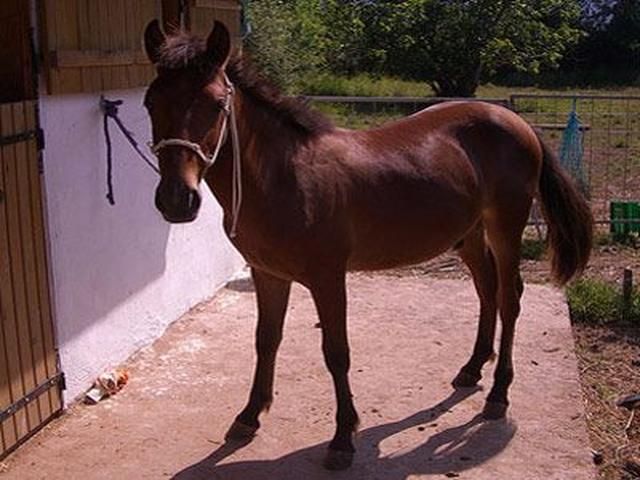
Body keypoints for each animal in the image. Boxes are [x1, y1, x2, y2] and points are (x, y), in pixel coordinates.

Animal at [143, 20, 593, 470]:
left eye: (216, 103)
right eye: (150, 102)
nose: (176, 200)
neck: (286, 176)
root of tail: (515, 120)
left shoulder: (328, 278)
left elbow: (336, 352)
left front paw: (343, 439)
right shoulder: (268, 275)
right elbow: (266, 341)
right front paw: (249, 417)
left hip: (505, 227)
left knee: (510, 299)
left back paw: (498, 395)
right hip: (469, 235)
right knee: (488, 292)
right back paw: (471, 369)